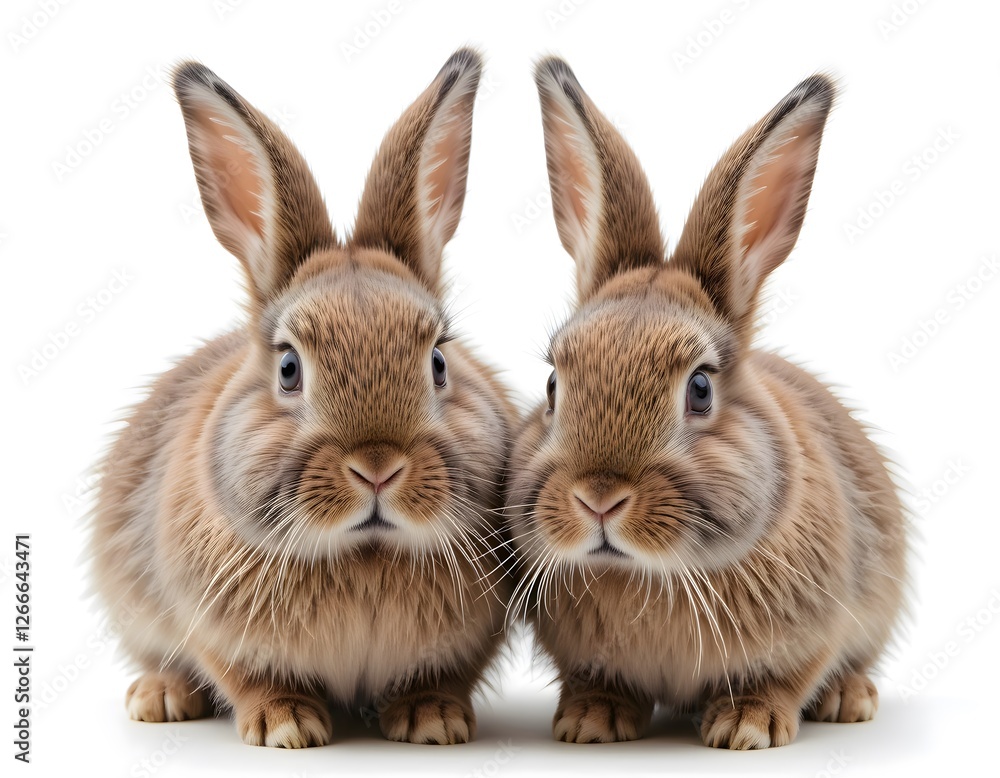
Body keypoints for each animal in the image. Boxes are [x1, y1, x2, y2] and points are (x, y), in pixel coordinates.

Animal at [87, 48, 517, 748]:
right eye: (289, 368)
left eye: (438, 361)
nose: (377, 468)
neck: (365, 552)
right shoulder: (211, 626)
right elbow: (245, 676)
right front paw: (285, 726)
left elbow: (444, 676)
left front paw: (433, 720)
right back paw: (160, 698)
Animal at [505, 57, 908, 749]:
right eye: (555, 385)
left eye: (700, 389)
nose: (599, 498)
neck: (651, 573)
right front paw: (590, 722)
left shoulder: (814, 633)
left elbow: (786, 678)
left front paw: (747, 727)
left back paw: (849, 699)